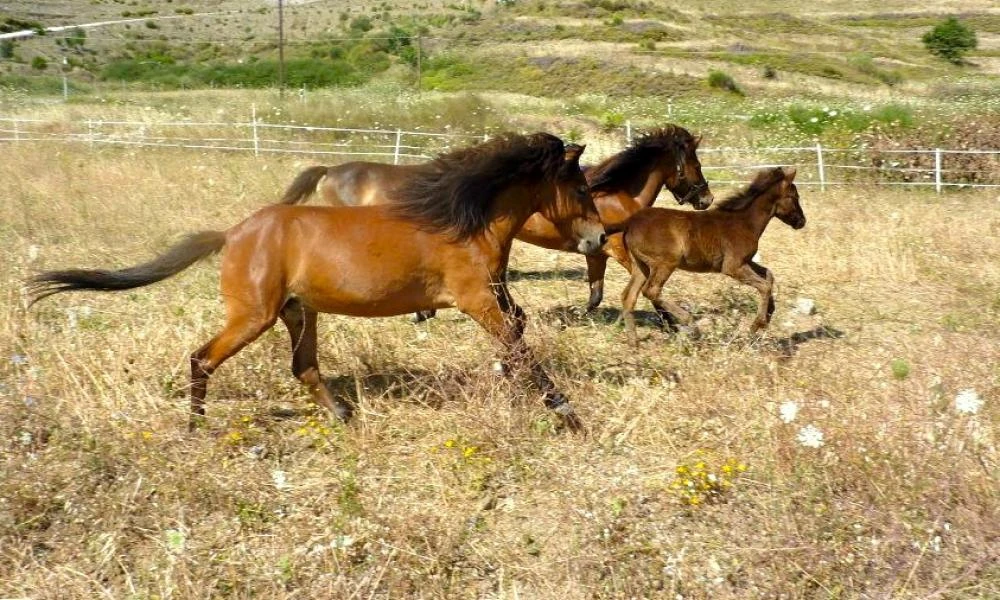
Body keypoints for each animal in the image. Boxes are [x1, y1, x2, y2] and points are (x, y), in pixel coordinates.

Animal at [31, 133, 604, 428]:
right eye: (580, 187)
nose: (599, 237)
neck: (465, 221)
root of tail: (232, 233)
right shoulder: (475, 299)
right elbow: (519, 343)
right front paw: (565, 411)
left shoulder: (494, 293)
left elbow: (519, 330)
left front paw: (516, 383)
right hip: (254, 316)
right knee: (202, 357)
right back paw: (195, 426)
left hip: (299, 311)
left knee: (303, 368)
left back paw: (344, 417)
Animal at [278, 125, 716, 316]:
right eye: (695, 163)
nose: (706, 198)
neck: (615, 192)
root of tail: (332, 169)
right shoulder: (616, 247)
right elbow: (643, 282)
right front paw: (677, 322)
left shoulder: (596, 250)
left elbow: (595, 293)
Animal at [612, 168, 808, 346]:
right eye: (794, 197)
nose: (802, 221)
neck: (744, 221)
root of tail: (630, 223)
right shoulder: (732, 266)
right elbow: (765, 285)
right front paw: (757, 324)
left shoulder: (745, 261)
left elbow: (769, 275)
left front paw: (769, 313)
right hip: (665, 263)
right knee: (651, 290)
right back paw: (690, 322)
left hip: (641, 265)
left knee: (629, 296)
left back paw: (634, 343)